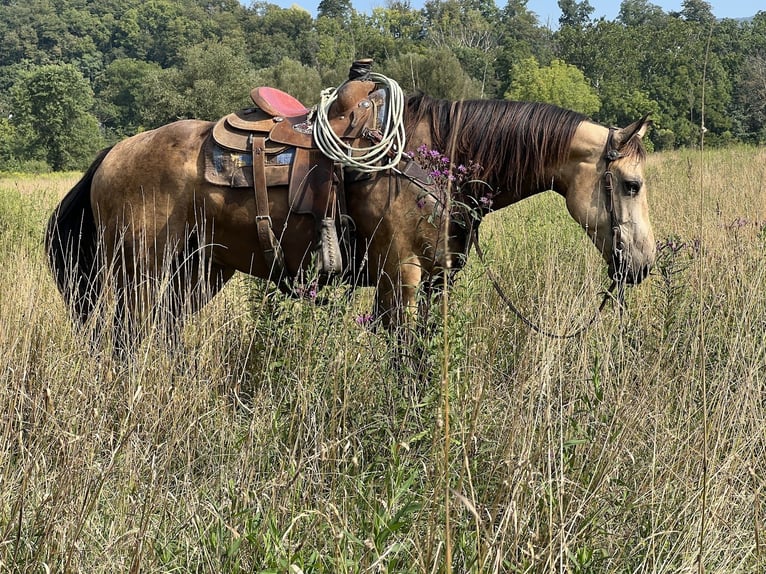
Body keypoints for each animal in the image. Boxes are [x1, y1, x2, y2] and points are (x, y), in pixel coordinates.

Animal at [45, 70, 656, 354]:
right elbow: (404, 358)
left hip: (197, 273)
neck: (436, 158)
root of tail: (114, 153)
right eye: (630, 184)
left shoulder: (435, 280)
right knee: (126, 342)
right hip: (140, 272)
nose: (642, 265)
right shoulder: (399, 276)